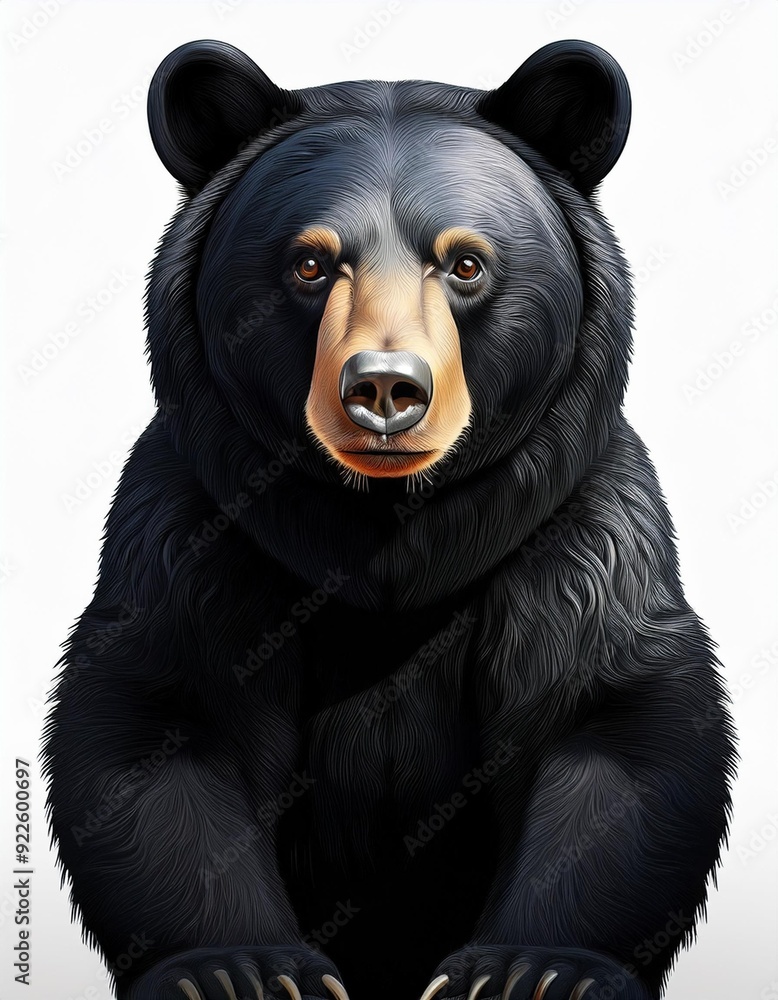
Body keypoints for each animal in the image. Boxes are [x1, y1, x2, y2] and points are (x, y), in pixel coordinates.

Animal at [41, 37, 736, 1000]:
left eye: (466, 263)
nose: (384, 389)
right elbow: (162, 717)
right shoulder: (196, 531)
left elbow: (613, 722)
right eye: (309, 262)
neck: (388, 535)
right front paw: (239, 969)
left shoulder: (578, 531)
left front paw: (535, 970)